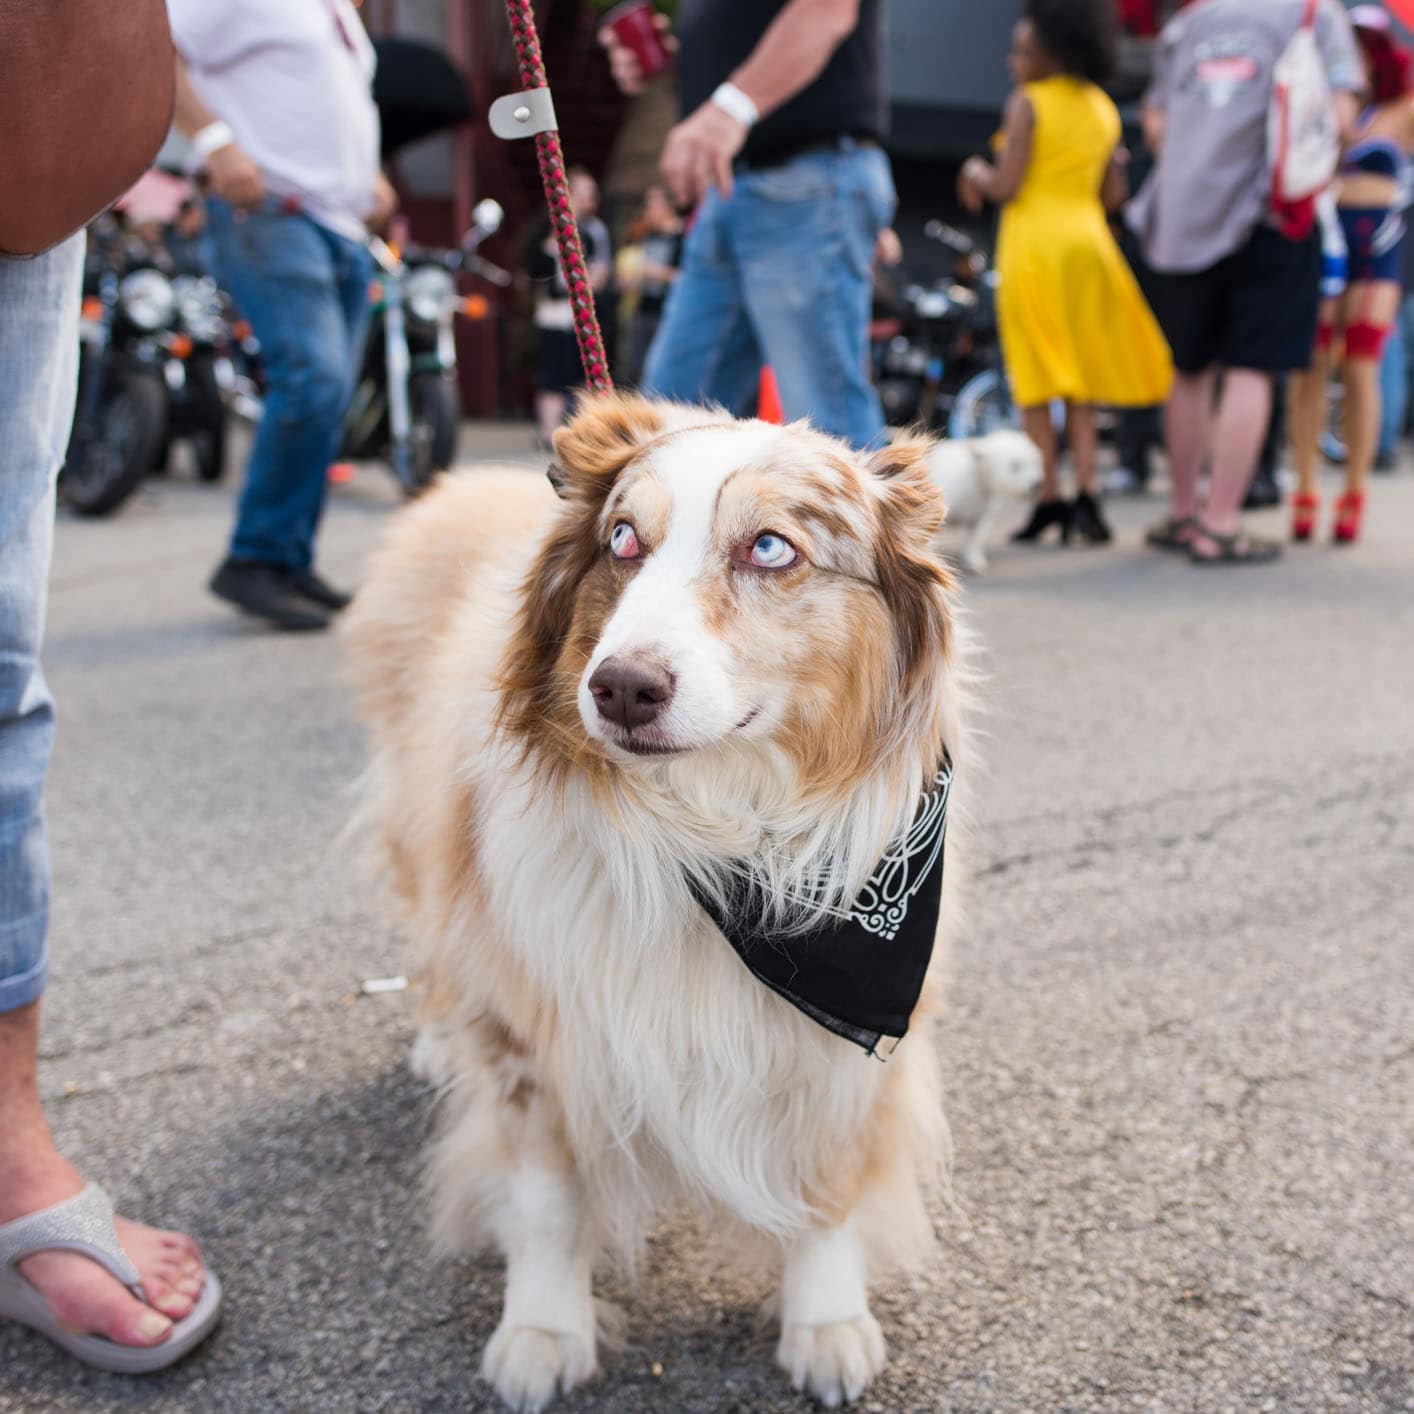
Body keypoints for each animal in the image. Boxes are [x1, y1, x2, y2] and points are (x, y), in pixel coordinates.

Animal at [346, 393, 967, 1408]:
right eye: (623, 540)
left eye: (769, 548)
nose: (622, 688)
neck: (708, 841)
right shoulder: (536, 1042)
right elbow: (546, 1203)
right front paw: (542, 1332)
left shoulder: (848, 1041)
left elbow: (825, 1190)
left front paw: (826, 1321)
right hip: (425, 829)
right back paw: (438, 1038)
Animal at [921, 424, 1046, 574]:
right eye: (1015, 465)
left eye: (1034, 462)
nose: (1036, 484)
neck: (979, 478)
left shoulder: (980, 515)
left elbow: (975, 538)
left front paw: (974, 561)